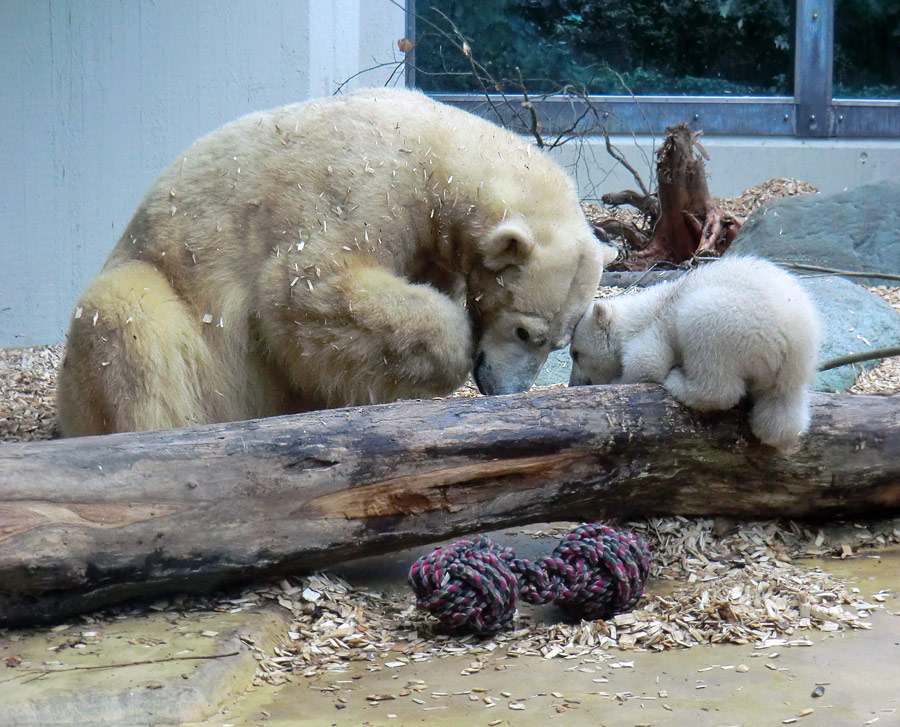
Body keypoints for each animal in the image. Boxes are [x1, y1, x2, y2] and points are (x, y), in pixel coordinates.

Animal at [56, 88, 604, 436]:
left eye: (557, 343)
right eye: (525, 332)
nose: (502, 389)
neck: (435, 152)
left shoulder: (430, 246)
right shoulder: (366, 186)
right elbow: (306, 289)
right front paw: (453, 347)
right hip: (158, 288)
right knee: (128, 322)